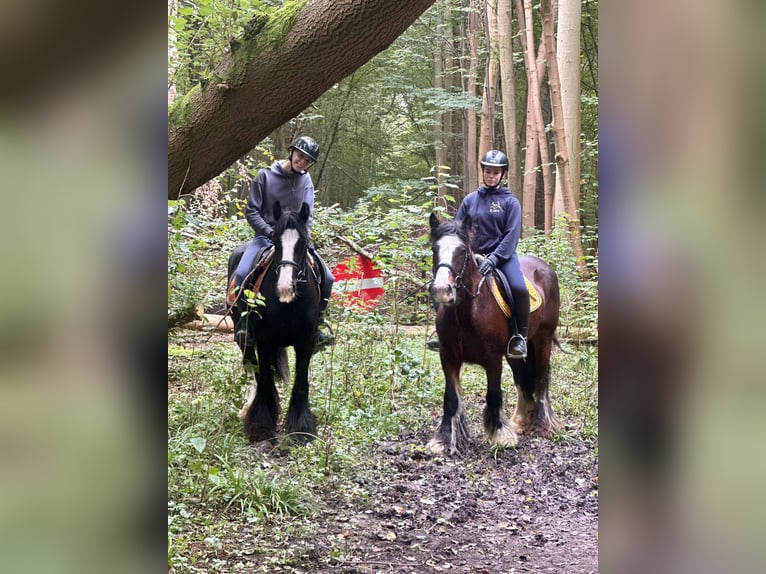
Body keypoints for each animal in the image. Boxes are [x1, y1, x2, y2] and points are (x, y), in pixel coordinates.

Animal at [228, 202, 324, 446]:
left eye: (304, 242)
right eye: (274, 240)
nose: (285, 288)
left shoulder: (306, 342)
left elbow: (301, 382)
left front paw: (301, 429)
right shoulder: (265, 341)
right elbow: (263, 379)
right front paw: (261, 427)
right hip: (245, 339)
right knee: (253, 369)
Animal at [426, 214, 564, 456]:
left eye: (462, 250)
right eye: (435, 248)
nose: (443, 290)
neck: (467, 311)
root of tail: (546, 268)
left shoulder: (492, 359)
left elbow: (493, 394)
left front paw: (500, 434)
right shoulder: (448, 357)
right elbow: (450, 398)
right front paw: (443, 439)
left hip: (543, 338)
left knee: (540, 379)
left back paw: (543, 424)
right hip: (514, 352)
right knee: (522, 378)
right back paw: (520, 421)